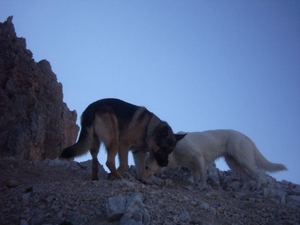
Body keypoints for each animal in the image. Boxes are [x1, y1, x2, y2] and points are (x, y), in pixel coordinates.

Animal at [144, 130, 288, 190]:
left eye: (146, 167)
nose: (141, 180)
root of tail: (244, 136)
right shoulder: (193, 165)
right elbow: (196, 177)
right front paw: (194, 186)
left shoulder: (198, 158)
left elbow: (203, 176)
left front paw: (202, 187)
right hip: (233, 164)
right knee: (248, 178)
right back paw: (242, 190)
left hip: (243, 160)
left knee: (258, 174)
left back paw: (257, 187)